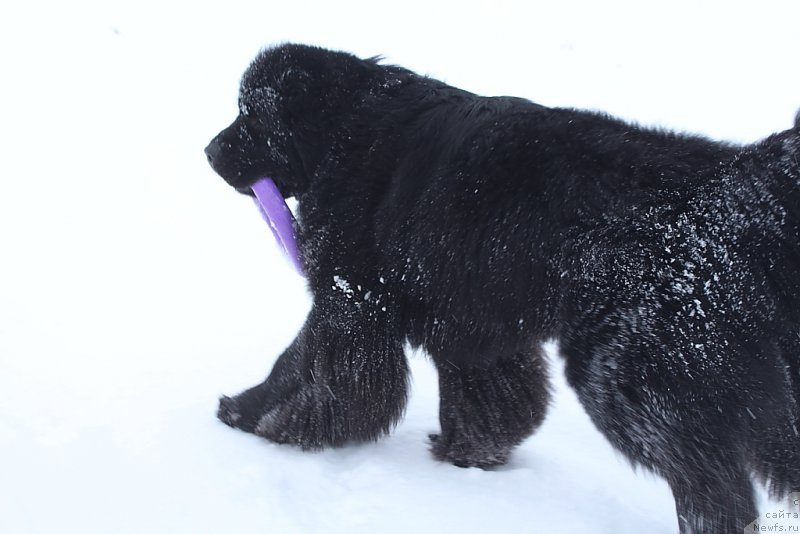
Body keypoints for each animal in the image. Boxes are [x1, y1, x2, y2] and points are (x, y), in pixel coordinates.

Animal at [206, 44, 800, 532]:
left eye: (250, 116)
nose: (209, 151)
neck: (342, 132)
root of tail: (724, 183)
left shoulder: (351, 294)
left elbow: (303, 362)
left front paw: (254, 417)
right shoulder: (466, 318)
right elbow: (484, 394)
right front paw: (469, 455)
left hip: (627, 371)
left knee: (711, 484)